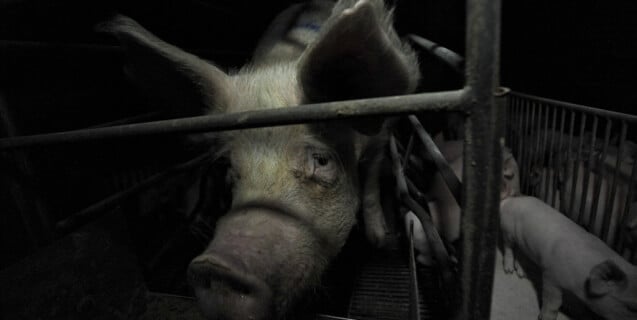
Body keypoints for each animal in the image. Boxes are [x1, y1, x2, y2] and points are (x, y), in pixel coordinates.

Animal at [98, 1, 418, 318]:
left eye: (321, 161)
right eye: (229, 167)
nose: (216, 267)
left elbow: (372, 179)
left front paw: (379, 239)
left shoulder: (383, 131)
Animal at [500, 159, 636, 318]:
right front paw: (544, 317)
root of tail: (510, 201)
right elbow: (552, 302)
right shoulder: (551, 275)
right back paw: (509, 271)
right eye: (631, 307)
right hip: (507, 231)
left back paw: (522, 275)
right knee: (509, 248)